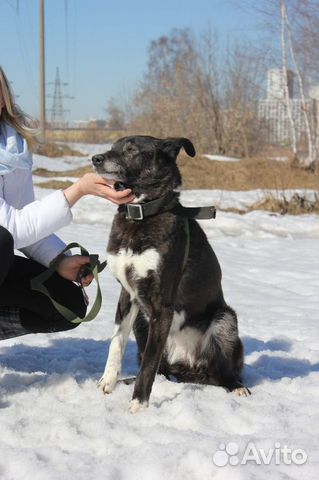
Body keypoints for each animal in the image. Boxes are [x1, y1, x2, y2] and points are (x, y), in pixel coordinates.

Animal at [92, 136, 250, 412]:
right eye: (112, 146)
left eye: (131, 149)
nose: (95, 159)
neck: (140, 214)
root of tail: (189, 364)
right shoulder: (128, 296)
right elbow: (116, 344)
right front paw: (108, 382)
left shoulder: (161, 307)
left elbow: (147, 365)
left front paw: (138, 405)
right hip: (143, 322)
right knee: (160, 368)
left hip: (225, 320)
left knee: (221, 372)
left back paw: (237, 387)